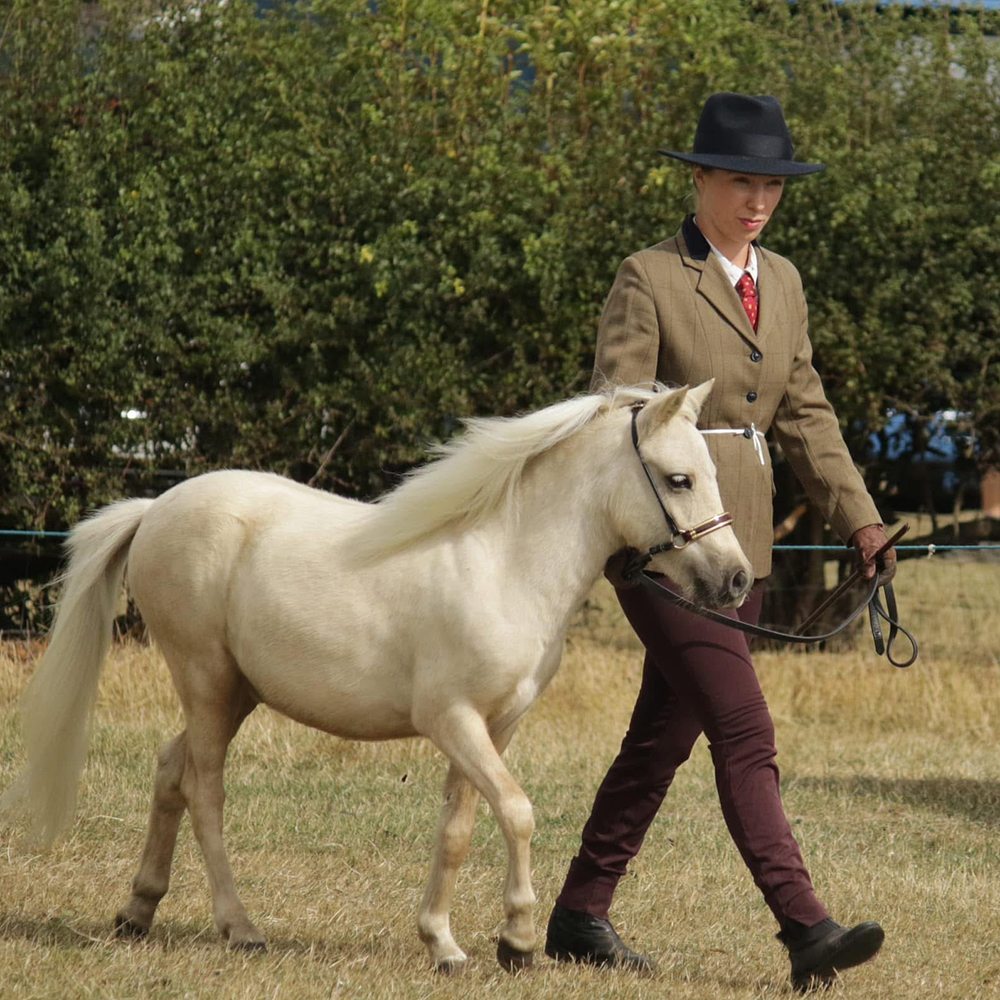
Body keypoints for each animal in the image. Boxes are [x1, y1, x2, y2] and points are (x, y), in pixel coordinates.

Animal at [0, 380, 752, 972]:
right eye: (679, 479)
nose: (737, 580)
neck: (504, 563)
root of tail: (155, 508)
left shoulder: (494, 728)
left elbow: (458, 829)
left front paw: (443, 944)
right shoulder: (452, 721)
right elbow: (517, 812)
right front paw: (515, 940)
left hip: (236, 692)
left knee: (168, 770)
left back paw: (138, 909)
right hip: (206, 682)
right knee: (203, 790)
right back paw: (240, 928)